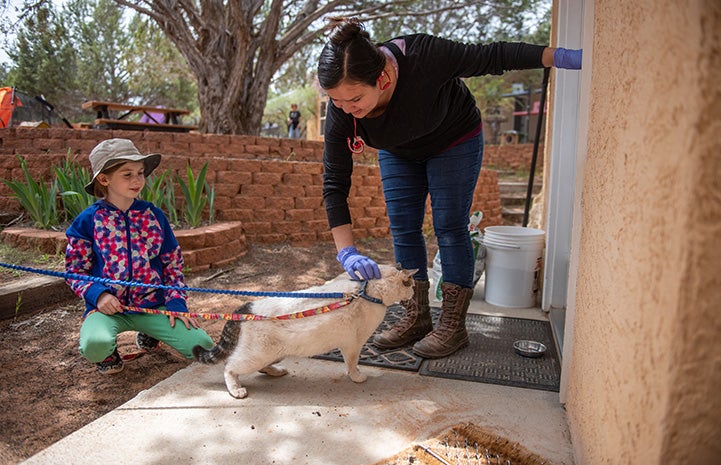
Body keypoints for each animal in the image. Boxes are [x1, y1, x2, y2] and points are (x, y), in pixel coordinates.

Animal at [191, 262, 416, 396]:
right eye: (412, 285)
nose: (414, 293)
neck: (368, 289)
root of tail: (245, 308)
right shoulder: (353, 345)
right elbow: (352, 364)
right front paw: (357, 376)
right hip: (256, 355)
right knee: (229, 366)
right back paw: (236, 389)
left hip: (274, 353)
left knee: (260, 367)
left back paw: (276, 371)